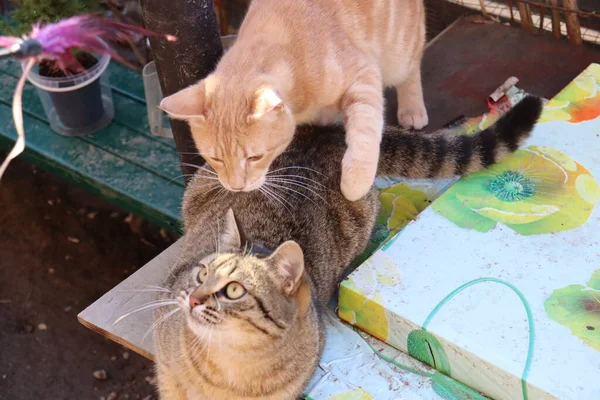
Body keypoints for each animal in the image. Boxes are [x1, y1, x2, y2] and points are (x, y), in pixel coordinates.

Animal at [154, 97, 544, 400]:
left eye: (234, 290)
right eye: (201, 273)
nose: (191, 298)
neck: (233, 371)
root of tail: (330, 133)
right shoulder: (168, 376)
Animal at [159, 0, 428, 200]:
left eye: (255, 157)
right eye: (215, 158)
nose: (236, 187)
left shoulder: (364, 74)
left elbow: (365, 128)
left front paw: (355, 182)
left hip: (399, 54)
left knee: (413, 67)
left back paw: (412, 109)